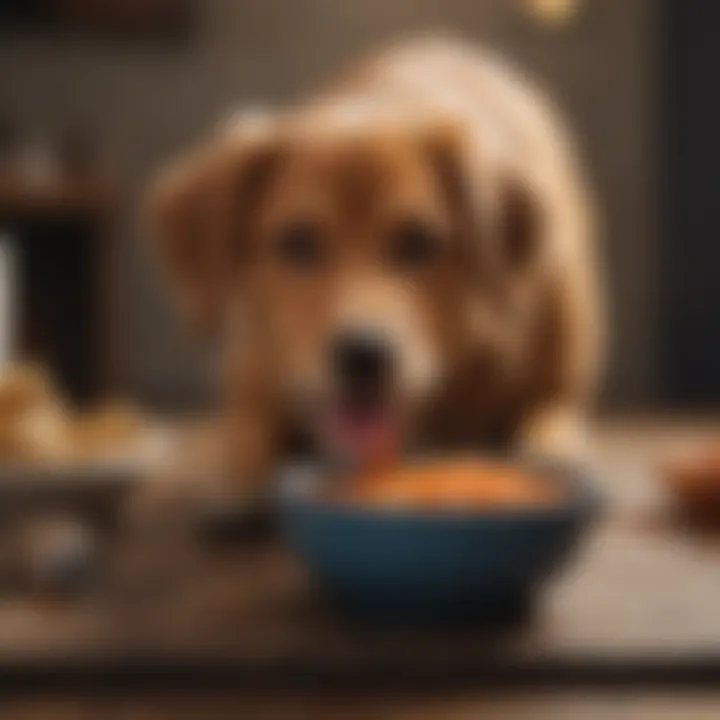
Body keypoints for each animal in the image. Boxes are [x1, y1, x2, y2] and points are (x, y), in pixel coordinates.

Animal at [149, 38, 604, 500]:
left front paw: (549, 450)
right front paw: (219, 470)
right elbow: (243, 434)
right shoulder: (252, 370)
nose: (363, 355)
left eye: (418, 241)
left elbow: (547, 417)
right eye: (296, 241)